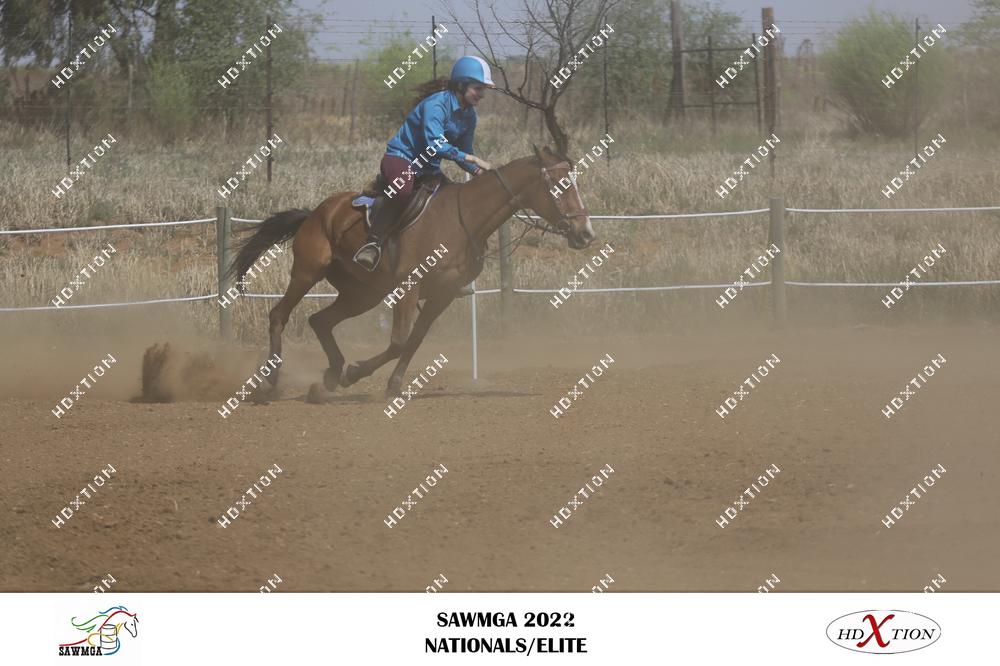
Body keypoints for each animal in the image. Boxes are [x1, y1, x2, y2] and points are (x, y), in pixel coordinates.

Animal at [229, 145, 596, 401]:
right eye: (561, 185)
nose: (586, 233)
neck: (464, 218)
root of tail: (315, 213)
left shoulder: (443, 295)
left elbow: (414, 340)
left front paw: (388, 383)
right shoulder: (410, 287)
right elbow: (399, 341)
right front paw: (357, 372)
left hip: (362, 293)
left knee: (320, 320)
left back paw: (330, 375)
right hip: (307, 272)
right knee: (279, 315)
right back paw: (270, 381)